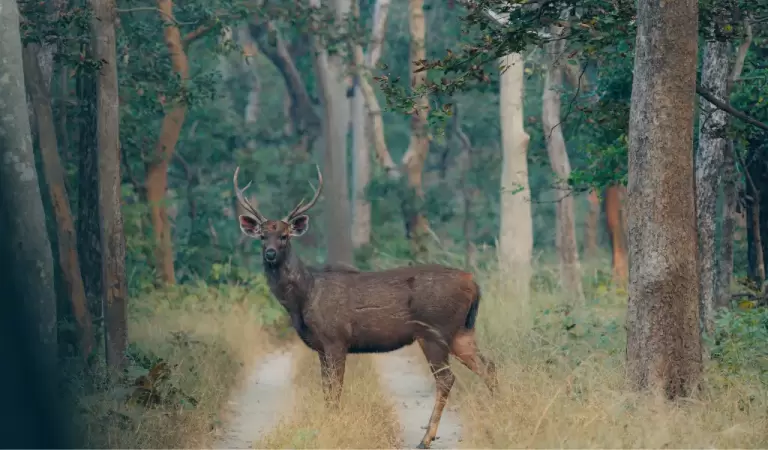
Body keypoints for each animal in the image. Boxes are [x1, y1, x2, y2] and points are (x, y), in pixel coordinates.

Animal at [234, 165, 497, 449]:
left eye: (284, 236)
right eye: (262, 236)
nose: (270, 253)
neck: (305, 297)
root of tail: (473, 283)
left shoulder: (336, 339)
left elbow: (335, 390)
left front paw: (333, 428)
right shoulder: (321, 347)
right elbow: (326, 390)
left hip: (434, 330)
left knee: (447, 378)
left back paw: (427, 438)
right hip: (462, 331)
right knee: (489, 367)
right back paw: (493, 418)